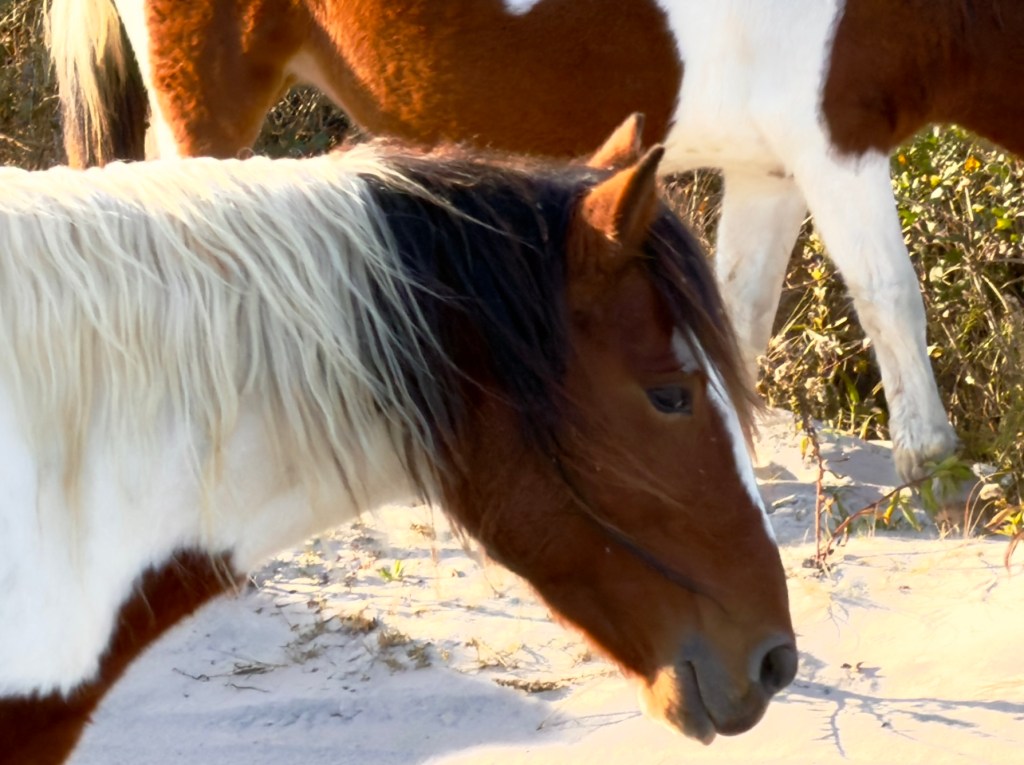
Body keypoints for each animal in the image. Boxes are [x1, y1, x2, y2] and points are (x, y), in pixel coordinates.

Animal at [48, 0, 1024, 485]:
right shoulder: (836, 144)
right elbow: (891, 296)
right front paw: (934, 461)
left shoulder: (775, 168)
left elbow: (737, 314)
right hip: (204, 98)